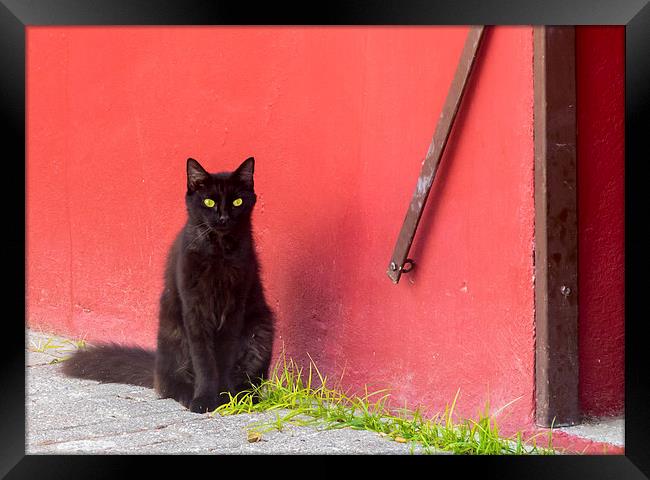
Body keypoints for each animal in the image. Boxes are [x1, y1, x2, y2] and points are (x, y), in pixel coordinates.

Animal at [65, 158, 276, 412]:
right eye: (209, 201)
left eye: (237, 202)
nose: (223, 218)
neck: (219, 253)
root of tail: (156, 369)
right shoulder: (194, 310)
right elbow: (204, 362)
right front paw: (204, 399)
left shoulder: (235, 308)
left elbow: (225, 357)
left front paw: (226, 397)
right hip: (172, 333)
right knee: (170, 384)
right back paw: (187, 394)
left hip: (261, 329)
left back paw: (245, 396)